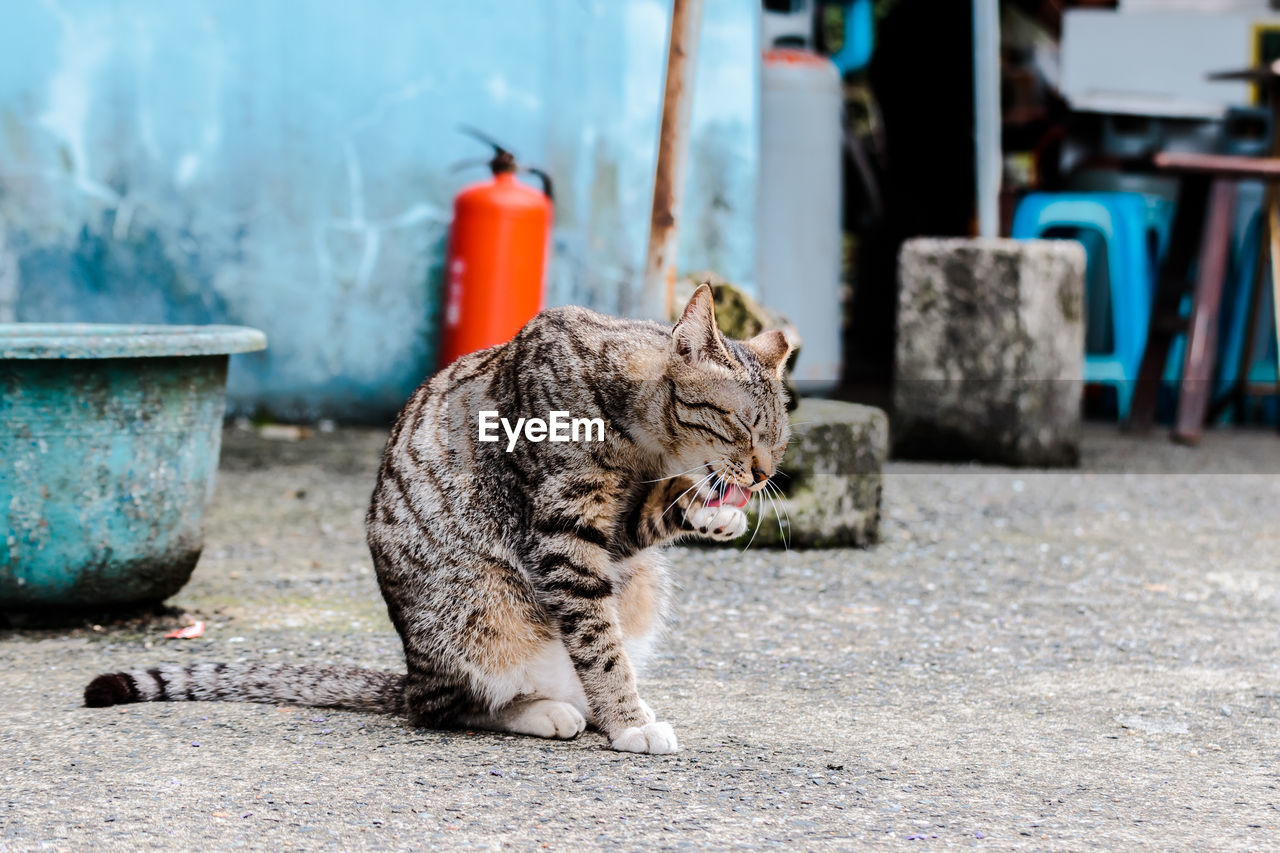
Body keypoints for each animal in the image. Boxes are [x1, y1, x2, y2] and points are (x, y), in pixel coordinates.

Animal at [85, 285, 788, 753]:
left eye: (779, 440)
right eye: (744, 426)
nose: (760, 476)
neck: (642, 441)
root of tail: (410, 675)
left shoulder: (612, 534)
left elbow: (643, 529)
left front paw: (712, 514)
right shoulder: (561, 536)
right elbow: (599, 645)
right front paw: (631, 723)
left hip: (637, 585)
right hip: (480, 604)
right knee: (449, 707)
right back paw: (547, 712)